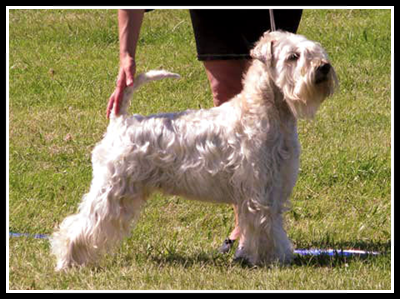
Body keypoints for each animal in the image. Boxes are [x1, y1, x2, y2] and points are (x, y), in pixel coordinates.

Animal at [50, 31, 338, 272]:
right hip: (111, 189)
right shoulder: (259, 192)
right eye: (293, 56)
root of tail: (120, 120)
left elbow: (273, 226)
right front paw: (271, 260)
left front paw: (276, 256)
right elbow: (265, 229)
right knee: (80, 224)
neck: (265, 112)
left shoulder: (275, 188)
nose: (323, 67)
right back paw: (67, 261)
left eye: (314, 50)